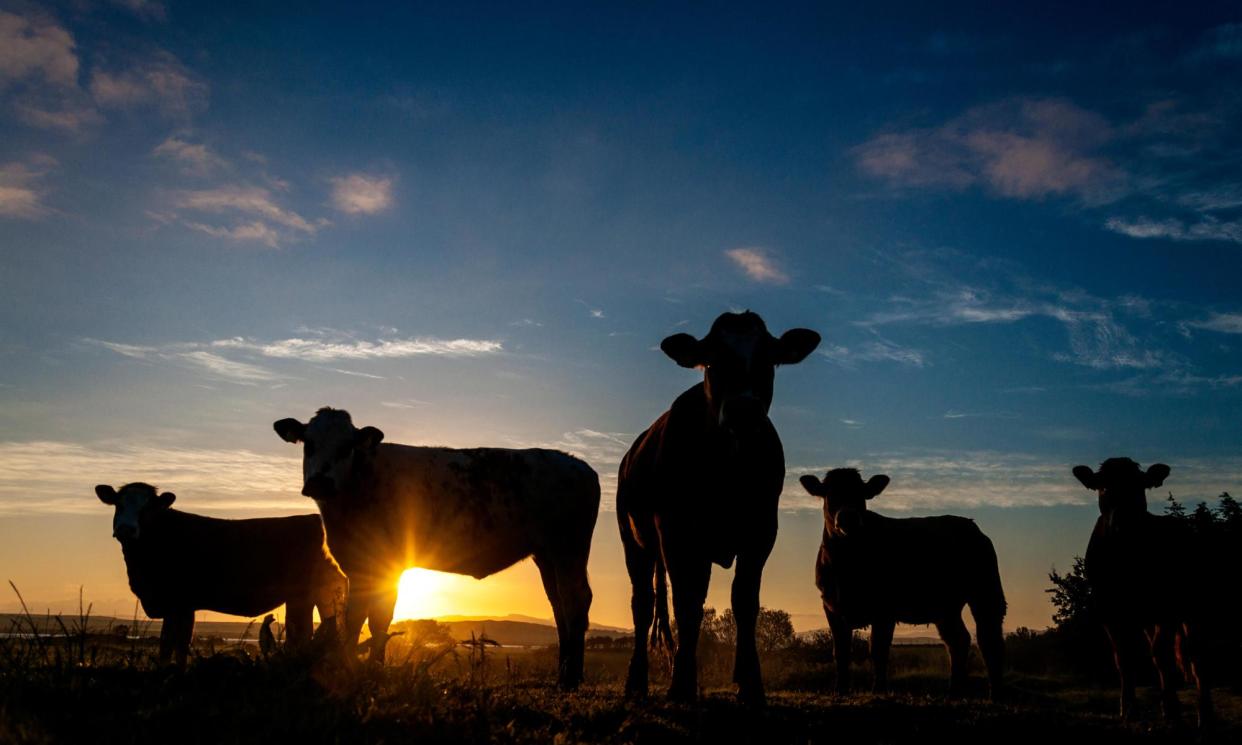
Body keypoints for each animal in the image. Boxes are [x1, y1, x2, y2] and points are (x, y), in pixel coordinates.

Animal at [93, 484, 347, 670]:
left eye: (147, 509)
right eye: (118, 504)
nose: (125, 529)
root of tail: (314, 519)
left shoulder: (183, 603)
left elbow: (179, 643)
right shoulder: (172, 606)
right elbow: (167, 643)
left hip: (301, 596)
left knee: (302, 634)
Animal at [273, 407, 601, 685]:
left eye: (347, 447)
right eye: (308, 444)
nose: (320, 482)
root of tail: (579, 465)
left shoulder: (386, 563)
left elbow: (374, 618)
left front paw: (366, 670)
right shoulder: (360, 564)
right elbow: (360, 618)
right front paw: (358, 667)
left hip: (569, 547)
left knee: (575, 599)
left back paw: (571, 678)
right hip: (546, 553)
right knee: (558, 603)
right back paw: (564, 672)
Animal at [616, 310, 819, 705]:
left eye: (768, 359)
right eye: (712, 360)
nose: (743, 410)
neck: (728, 466)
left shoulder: (761, 532)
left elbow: (745, 602)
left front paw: (751, 683)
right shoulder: (677, 532)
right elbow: (687, 603)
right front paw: (681, 685)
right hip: (635, 541)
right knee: (643, 604)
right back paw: (637, 682)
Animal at [794, 471, 1008, 700]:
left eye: (861, 495)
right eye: (830, 494)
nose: (848, 516)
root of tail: (972, 527)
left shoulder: (885, 608)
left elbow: (878, 649)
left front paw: (879, 690)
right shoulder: (831, 605)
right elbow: (841, 650)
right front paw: (840, 689)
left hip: (986, 591)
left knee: (989, 638)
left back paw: (995, 694)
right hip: (945, 608)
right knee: (958, 640)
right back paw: (954, 692)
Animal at [1068, 456, 1212, 725]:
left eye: (1139, 487)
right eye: (1104, 487)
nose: (1122, 521)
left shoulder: (1165, 606)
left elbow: (1162, 654)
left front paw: (1172, 710)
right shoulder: (1108, 609)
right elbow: (1124, 658)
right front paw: (1129, 709)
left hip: (1193, 606)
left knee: (1196, 656)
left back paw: (1204, 713)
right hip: (1149, 618)